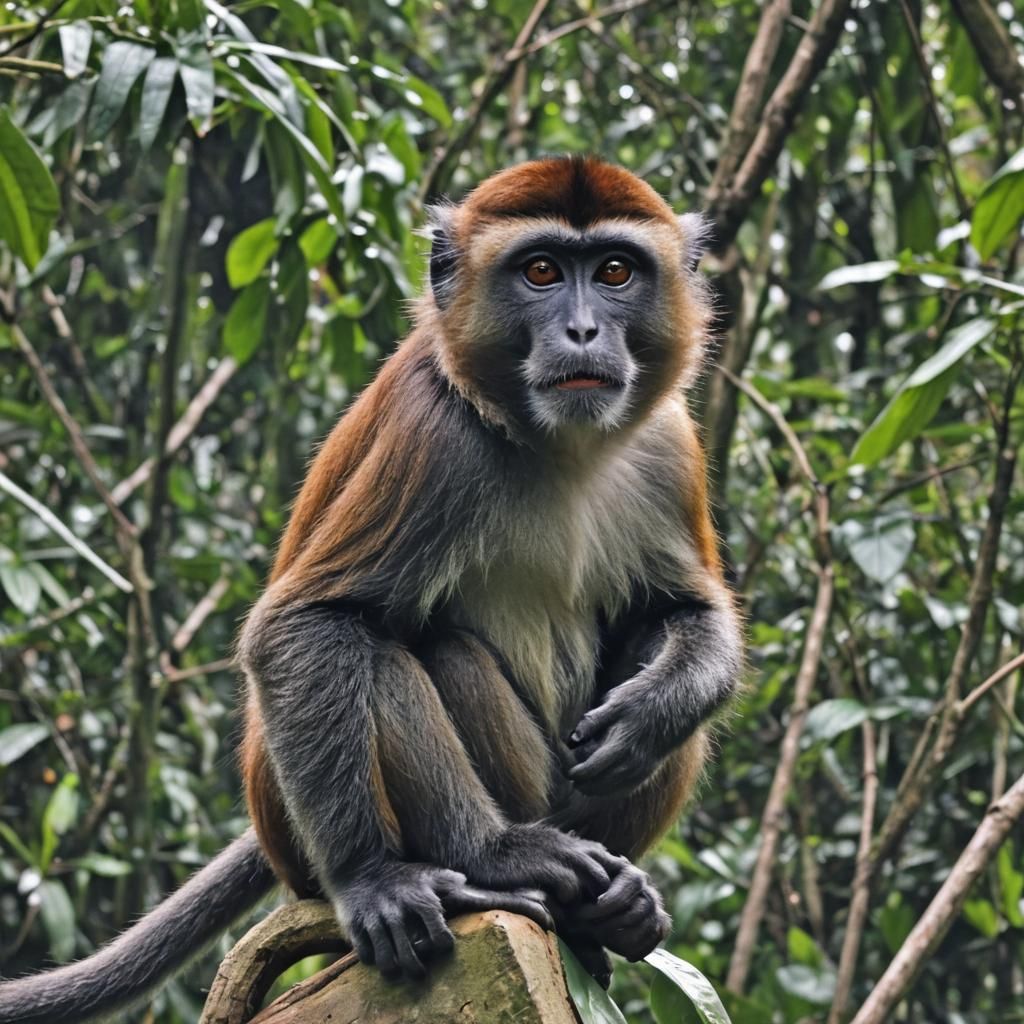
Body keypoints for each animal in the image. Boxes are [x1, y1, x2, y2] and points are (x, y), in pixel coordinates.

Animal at [0, 156, 742, 1024]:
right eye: (542, 272)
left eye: (616, 271)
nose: (585, 332)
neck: (560, 444)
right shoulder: (433, 438)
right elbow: (309, 622)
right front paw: (378, 881)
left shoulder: (668, 442)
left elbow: (682, 612)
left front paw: (654, 709)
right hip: (299, 827)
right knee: (405, 650)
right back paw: (499, 860)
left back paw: (606, 912)